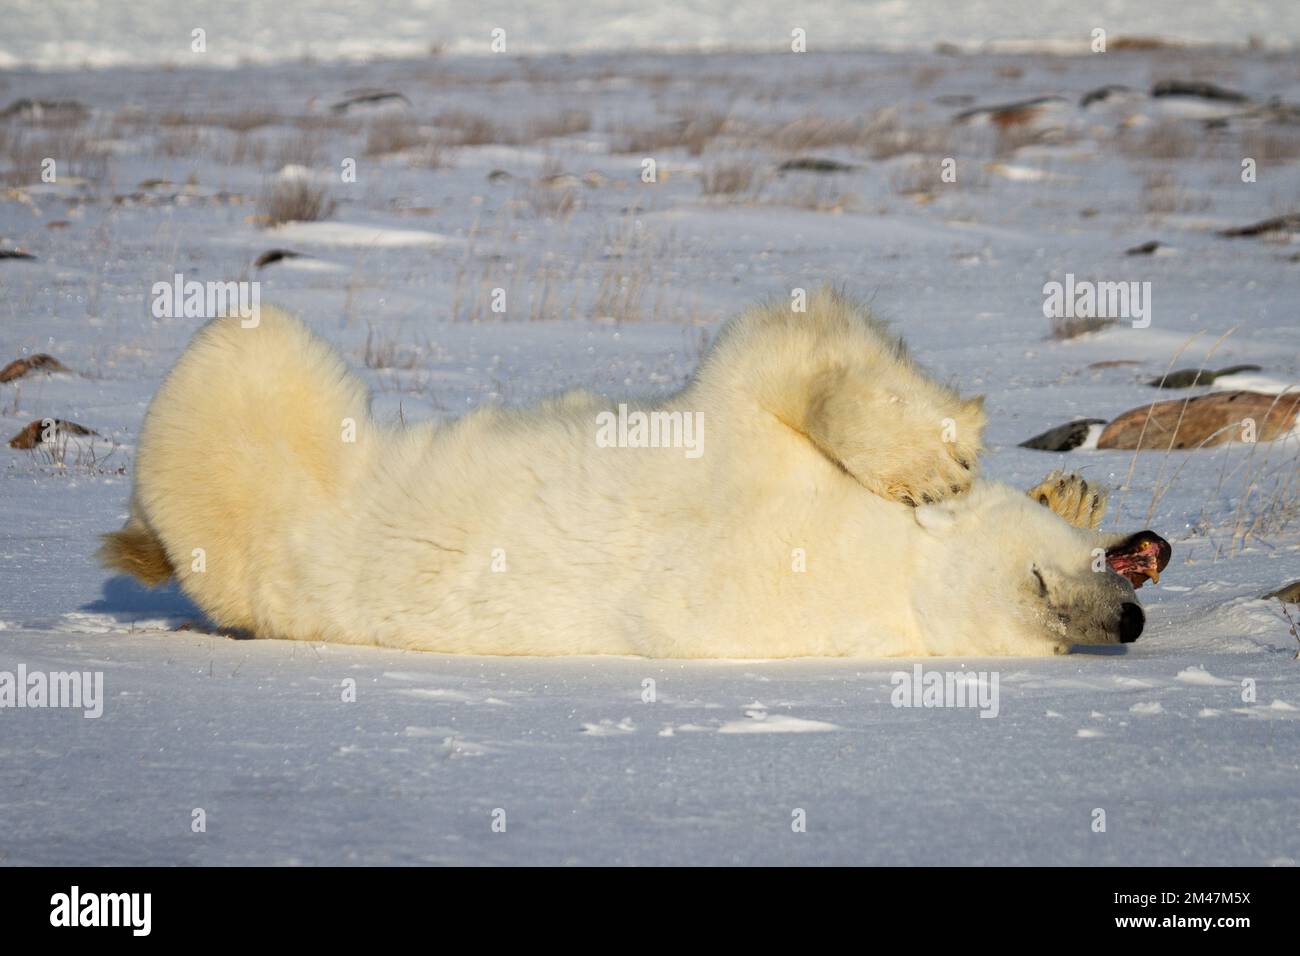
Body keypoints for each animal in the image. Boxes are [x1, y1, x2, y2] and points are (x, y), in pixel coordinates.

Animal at [99, 288, 1170, 657]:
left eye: (1057, 642)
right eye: (1040, 584)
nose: (1126, 618)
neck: (879, 578)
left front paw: (1070, 485)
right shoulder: (741, 468)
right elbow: (782, 350)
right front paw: (937, 462)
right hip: (249, 453)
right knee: (242, 343)